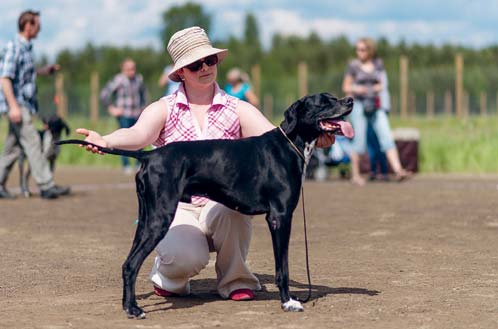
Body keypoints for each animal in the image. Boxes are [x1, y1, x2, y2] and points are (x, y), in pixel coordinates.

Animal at [57, 92, 354, 318]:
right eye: (323, 102)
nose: (350, 100)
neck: (290, 144)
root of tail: (149, 155)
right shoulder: (280, 218)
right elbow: (283, 267)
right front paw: (288, 302)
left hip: (146, 219)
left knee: (127, 262)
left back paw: (127, 305)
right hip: (159, 219)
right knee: (131, 264)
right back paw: (133, 310)